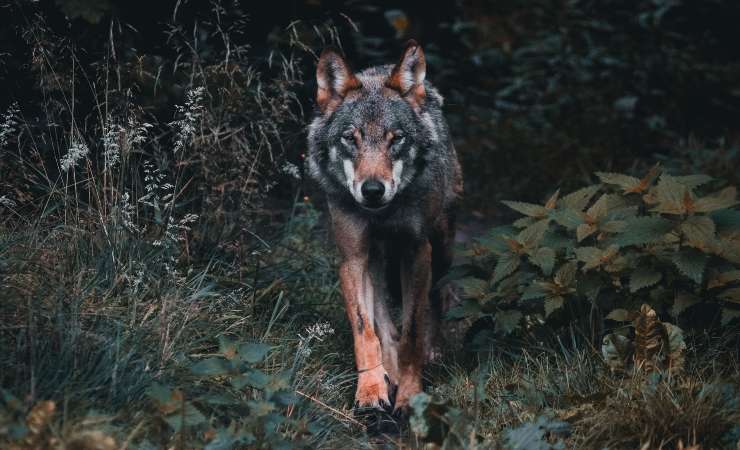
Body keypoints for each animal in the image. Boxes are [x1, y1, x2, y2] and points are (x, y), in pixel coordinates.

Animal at [306, 41, 462, 412]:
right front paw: (370, 389)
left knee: (436, 299)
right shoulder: (353, 259)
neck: (382, 215)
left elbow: (412, 330)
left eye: (397, 139)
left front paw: (410, 393)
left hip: (442, 247)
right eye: (351, 138)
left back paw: (432, 352)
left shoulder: (416, 252)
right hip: (375, 263)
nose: (373, 190)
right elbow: (367, 331)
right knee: (384, 325)